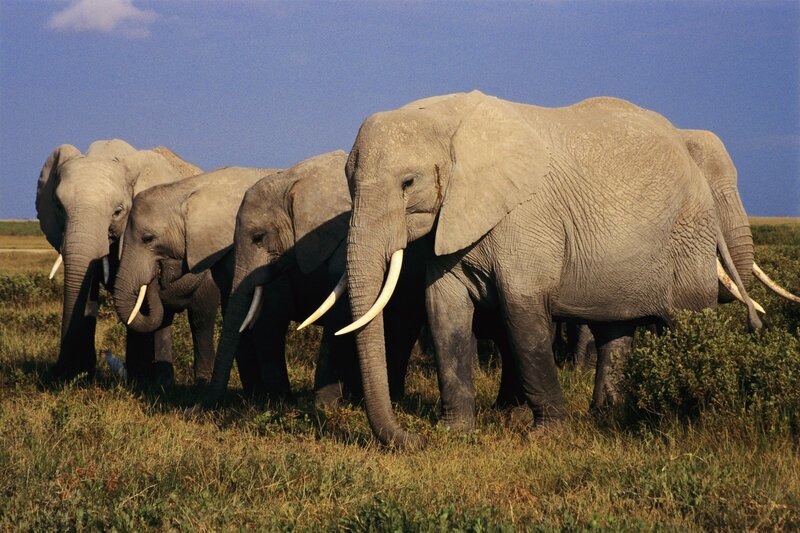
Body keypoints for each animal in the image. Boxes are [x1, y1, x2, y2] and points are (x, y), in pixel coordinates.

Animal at [319, 90, 762, 449]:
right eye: (347, 182)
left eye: (409, 183)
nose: (415, 438)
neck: (447, 118)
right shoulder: (450, 221)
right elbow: (445, 312)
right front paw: (454, 433)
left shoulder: (528, 219)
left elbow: (523, 317)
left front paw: (545, 436)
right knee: (614, 332)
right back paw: (607, 417)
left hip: (688, 235)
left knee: (687, 323)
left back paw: (693, 417)